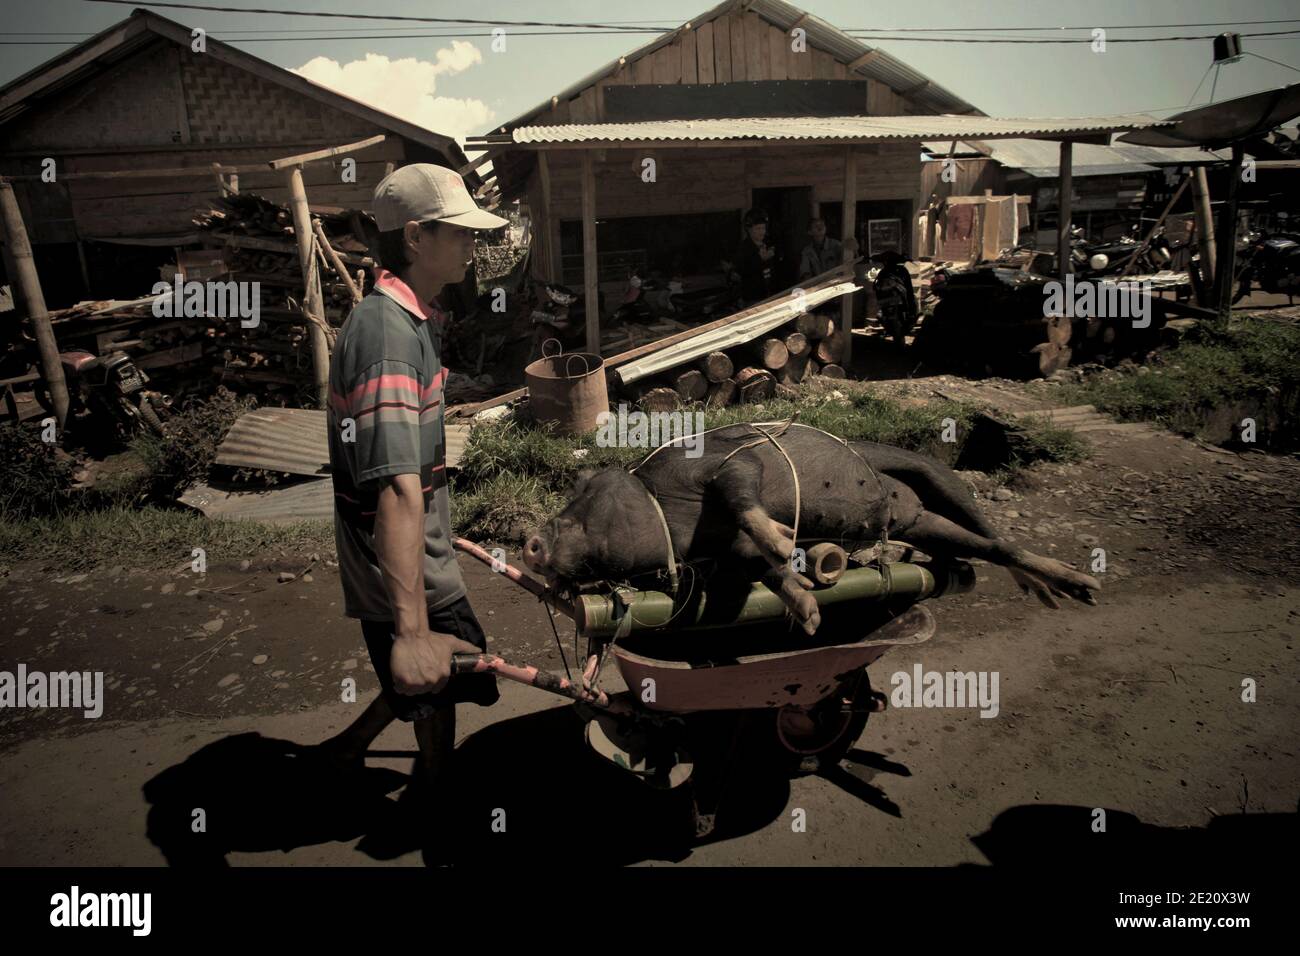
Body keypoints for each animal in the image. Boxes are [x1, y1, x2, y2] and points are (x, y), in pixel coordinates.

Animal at [520, 421, 1097, 632]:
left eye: (577, 499)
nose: (529, 542)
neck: (670, 512)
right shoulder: (729, 556)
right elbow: (767, 573)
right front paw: (811, 613)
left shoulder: (726, 464)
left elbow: (742, 497)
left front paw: (784, 541)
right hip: (926, 525)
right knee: (983, 548)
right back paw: (1060, 591)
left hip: (939, 477)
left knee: (996, 535)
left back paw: (1079, 587)